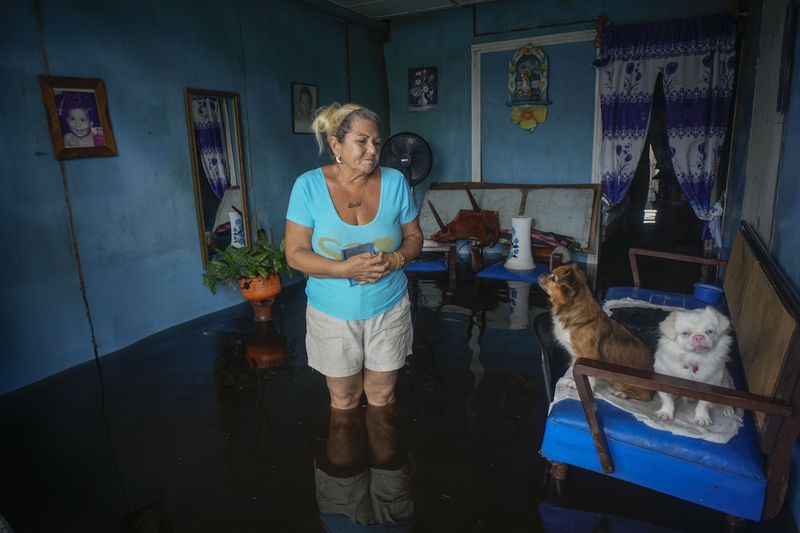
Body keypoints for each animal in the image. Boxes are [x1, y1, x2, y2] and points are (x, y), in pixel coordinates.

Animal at [536, 262, 656, 400]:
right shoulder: (576, 356)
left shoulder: (590, 356)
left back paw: (623, 393)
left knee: (644, 396)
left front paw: (587, 389)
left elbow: (590, 376)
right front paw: (574, 383)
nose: (541, 274)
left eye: (553, 278)